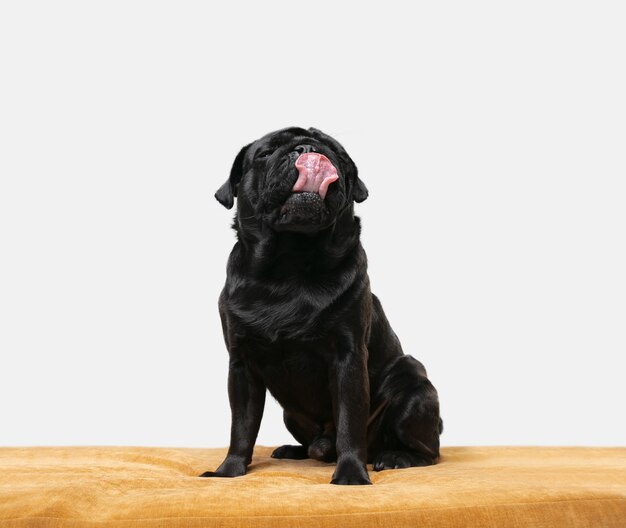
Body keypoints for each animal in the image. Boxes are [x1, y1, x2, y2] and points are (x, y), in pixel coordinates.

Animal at [199, 126, 438, 484]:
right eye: (265, 153)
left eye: (334, 153)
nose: (306, 149)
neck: (289, 266)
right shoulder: (241, 366)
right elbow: (241, 427)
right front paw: (228, 471)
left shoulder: (348, 358)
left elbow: (350, 423)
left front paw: (351, 476)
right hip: (291, 415)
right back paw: (295, 450)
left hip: (412, 383)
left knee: (429, 452)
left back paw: (395, 456)